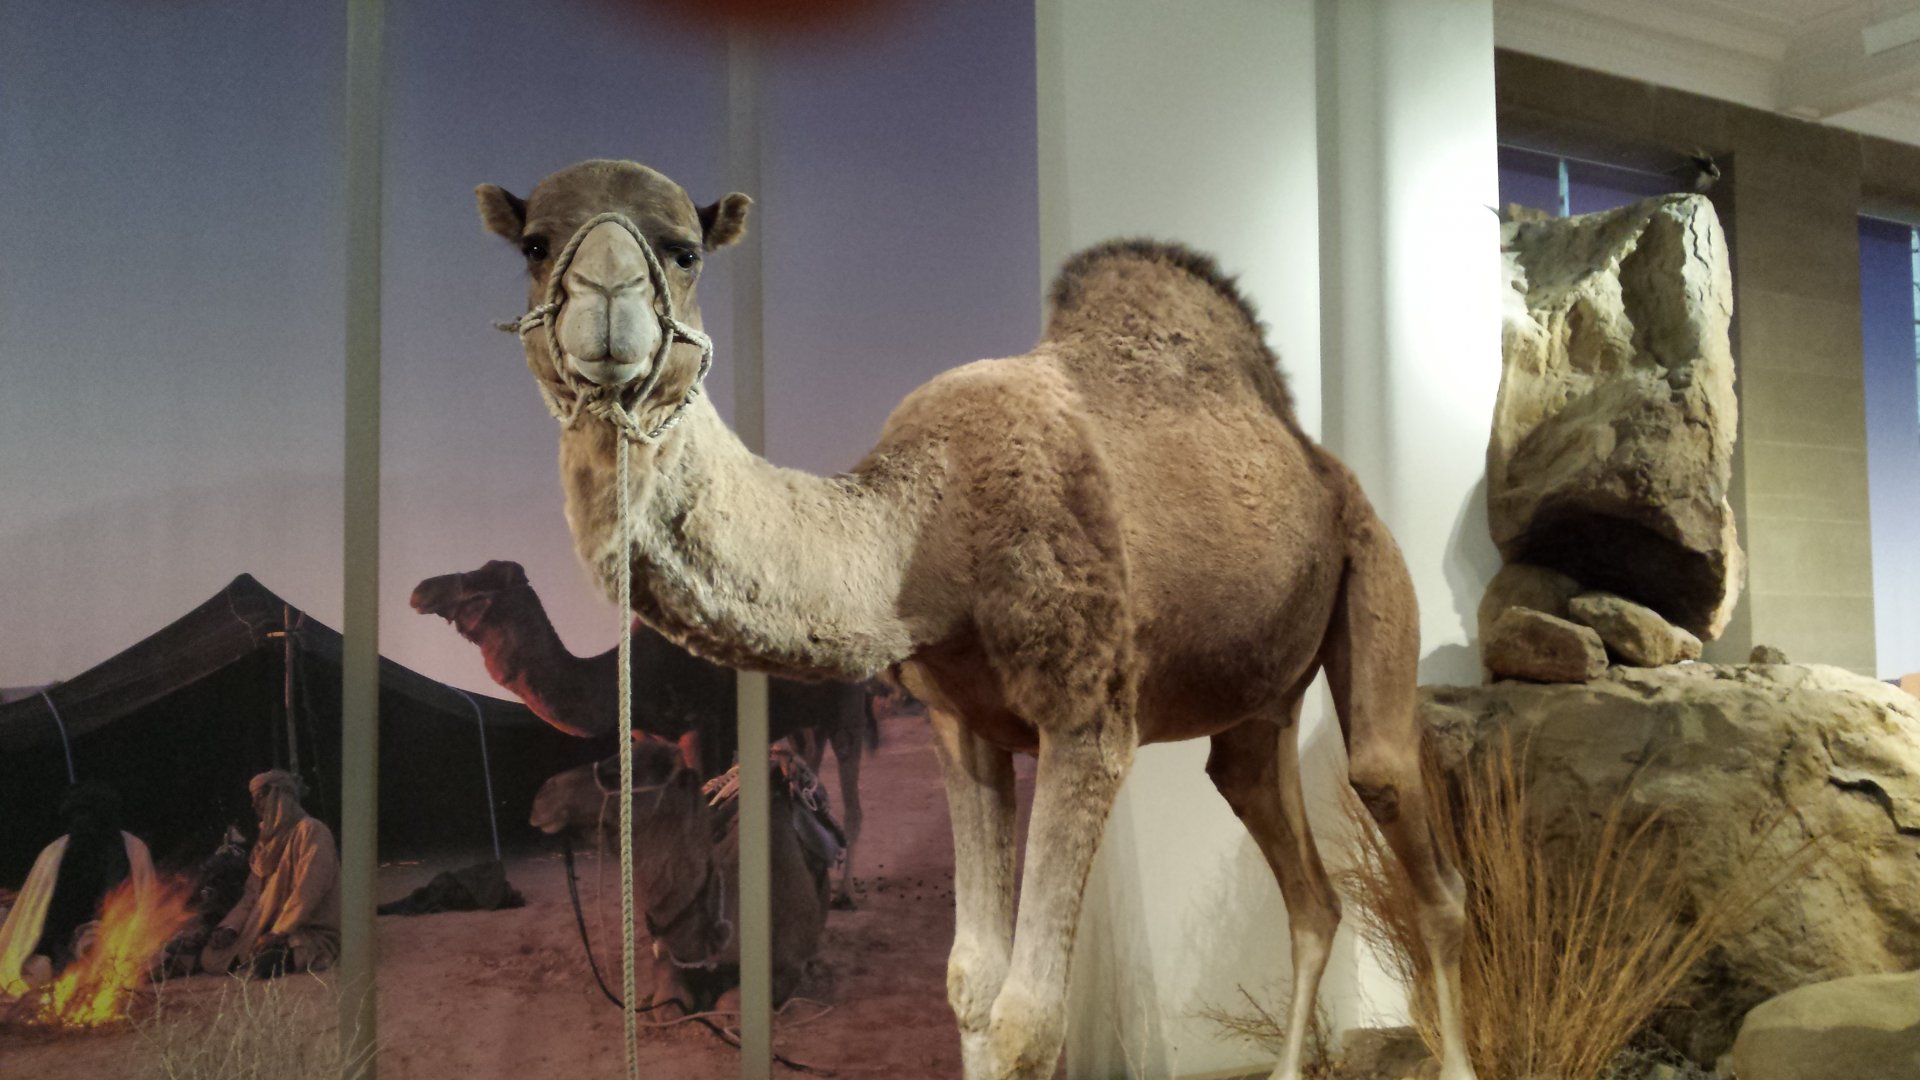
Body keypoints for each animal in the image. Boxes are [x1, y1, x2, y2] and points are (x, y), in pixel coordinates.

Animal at [410, 559, 880, 908]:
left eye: (480, 579)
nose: (421, 590)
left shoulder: (703, 732)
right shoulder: (649, 742)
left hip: (848, 710)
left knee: (855, 804)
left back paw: (844, 894)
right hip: (805, 721)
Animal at [530, 738, 834, 1010]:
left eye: (619, 771)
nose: (543, 794)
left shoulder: (788, 964)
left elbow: (727, 1005)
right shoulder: (670, 955)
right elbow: (667, 1000)